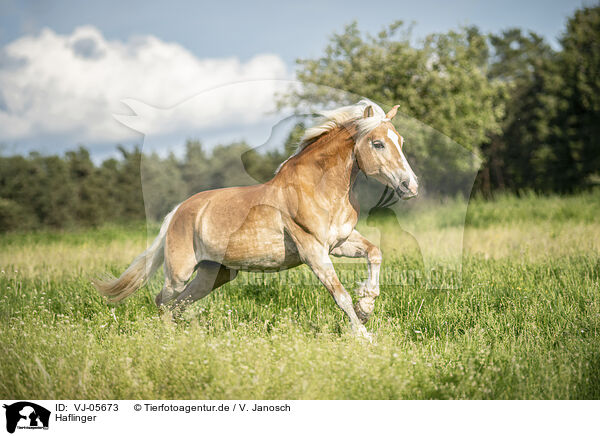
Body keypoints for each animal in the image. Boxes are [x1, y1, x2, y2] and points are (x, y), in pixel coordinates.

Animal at [96, 99, 420, 340]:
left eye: (401, 141)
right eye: (377, 143)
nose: (410, 186)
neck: (318, 188)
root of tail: (178, 211)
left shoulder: (340, 242)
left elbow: (375, 253)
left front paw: (366, 304)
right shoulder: (313, 250)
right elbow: (339, 293)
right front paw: (364, 335)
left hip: (214, 274)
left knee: (179, 304)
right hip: (179, 272)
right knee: (163, 301)